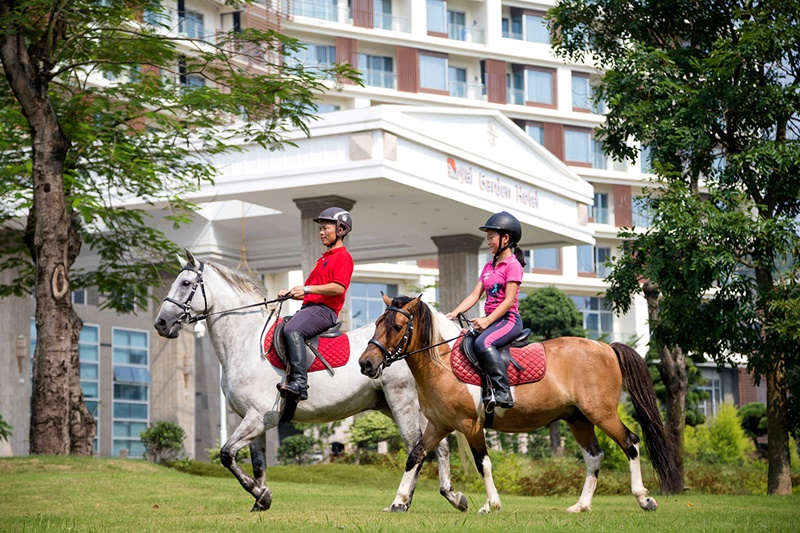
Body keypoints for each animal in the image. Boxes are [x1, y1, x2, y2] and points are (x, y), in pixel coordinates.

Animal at [153, 251, 466, 512]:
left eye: (185, 283)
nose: (161, 324)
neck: (247, 341)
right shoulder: (253, 420)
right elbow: (257, 463)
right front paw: (261, 500)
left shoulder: (257, 418)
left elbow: (226, 454)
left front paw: (261, 494)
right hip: (397, 405)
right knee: (437, 446)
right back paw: (452, 496)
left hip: (402, 402)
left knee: (416, 447)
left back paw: (401, 502)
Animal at [360, 294, 680, 512]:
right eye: (377, 323)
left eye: (397, 326)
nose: (366, 363)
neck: (442, 363)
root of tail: (606, 348)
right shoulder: (439, 425)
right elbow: (415, 455)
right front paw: (398, 501)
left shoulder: (470, 425)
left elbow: (483, 463)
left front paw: (491, 504)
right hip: (578, 419)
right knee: (594, 456)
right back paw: (581, 505)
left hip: (601, 413)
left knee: (631, 442)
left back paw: (644, 498)